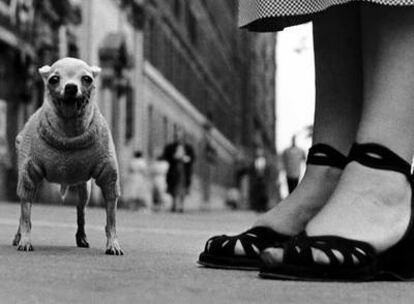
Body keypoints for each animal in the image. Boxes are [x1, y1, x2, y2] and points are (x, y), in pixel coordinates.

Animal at [14, 57, 124, 254]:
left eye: (87, 79)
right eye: (54, 79)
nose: (71, 87)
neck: (69, 131)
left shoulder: (109, 178)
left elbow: (111, 219)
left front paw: (113, 243)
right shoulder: (28, 176)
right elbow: (25, 215)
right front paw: (25, 239)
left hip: (84, 189)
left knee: (81, 211)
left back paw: (82, 237)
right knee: (23, 210)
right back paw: (18, 236)